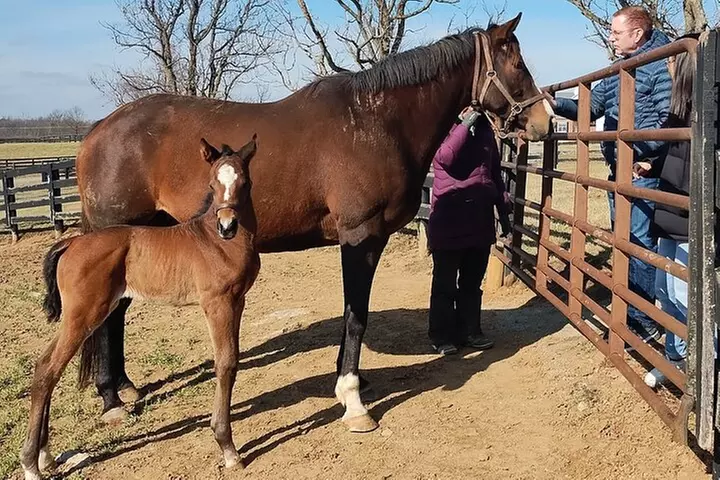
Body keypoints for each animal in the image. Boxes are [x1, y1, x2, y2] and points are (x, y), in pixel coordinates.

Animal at [19, 138, 259, 479]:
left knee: (46, 367)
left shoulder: (238, 301)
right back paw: (31, 464)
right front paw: (228, 448)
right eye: (212, 184)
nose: (228, 226)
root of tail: (72, 243)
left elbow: (233, 361)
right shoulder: (218, 303)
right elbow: (225, 364)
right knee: (48, 369)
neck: (215, 242)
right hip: (83, 316)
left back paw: (44, 456)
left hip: (78, 317)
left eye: (245, 182)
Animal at [75, 14, 553, 432]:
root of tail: (99, 130)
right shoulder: (360, 236)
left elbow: (352, 313)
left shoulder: (368, 240)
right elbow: (357, 314)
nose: (544, 122)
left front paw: (350, 383)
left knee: (117, 311)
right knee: (107, 314)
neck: (375, 120)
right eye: (516, 64)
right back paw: (111, 400)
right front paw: (354, 402)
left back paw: (125, 388)